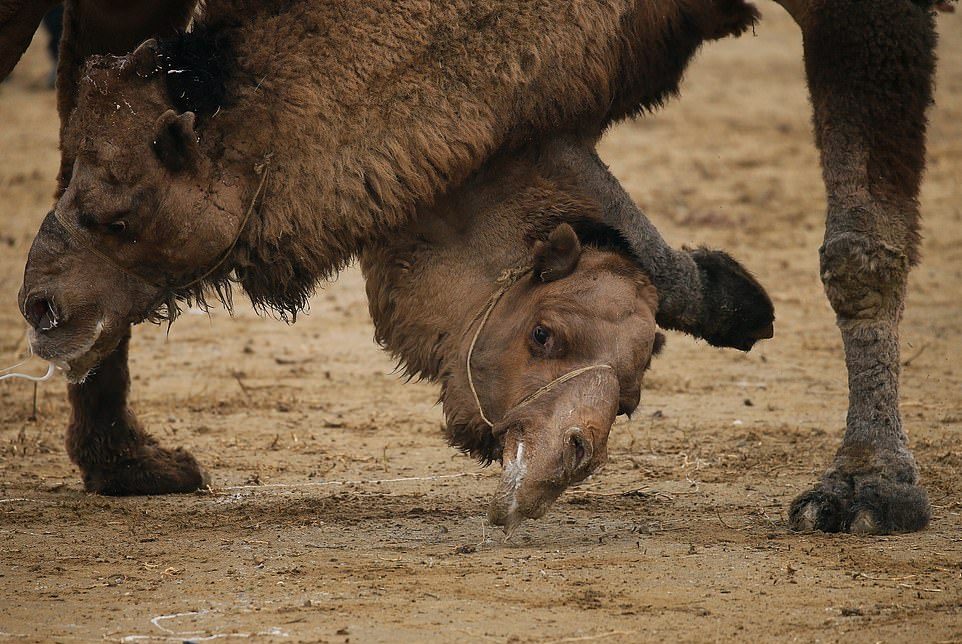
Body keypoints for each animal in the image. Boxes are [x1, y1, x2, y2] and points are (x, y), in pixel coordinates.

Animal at [1, 0, 944, 532]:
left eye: (633, 399)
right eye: (544, 335)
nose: (43, 302)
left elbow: (860, 249)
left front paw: (867, 489)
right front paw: (733, 295)